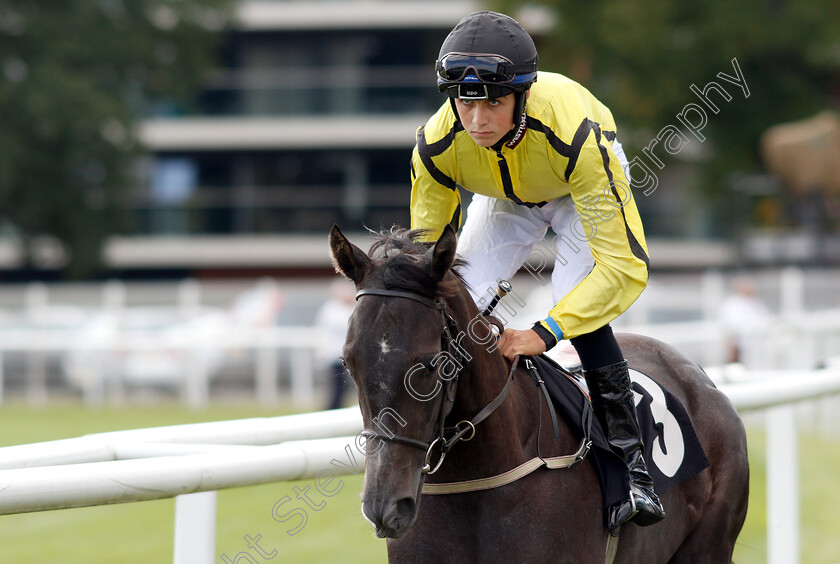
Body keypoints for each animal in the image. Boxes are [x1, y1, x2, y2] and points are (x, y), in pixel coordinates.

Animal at [328, 225, 748, 564]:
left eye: (431, 365)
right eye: (349, 362)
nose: (384, 508)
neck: (476, 480)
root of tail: (696, 374)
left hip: (708, 546)